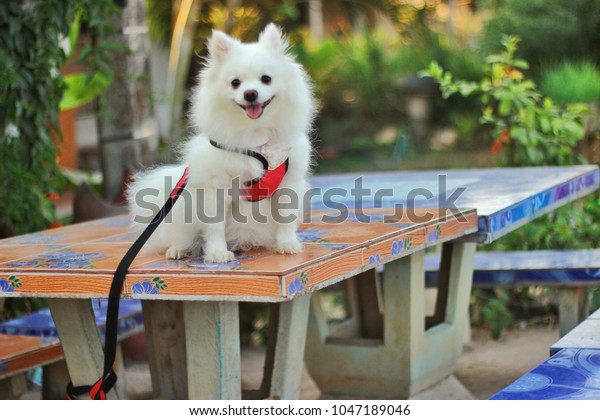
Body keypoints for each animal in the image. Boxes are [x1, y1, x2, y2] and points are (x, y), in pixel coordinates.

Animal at [128, 23, 316, 262]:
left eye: (266, 79)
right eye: (235, 83)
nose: (250, 93)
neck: (254, 134)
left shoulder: (287, 183)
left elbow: (285, 219)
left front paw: (287, 244)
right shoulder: (216, 187)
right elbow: (215, 226)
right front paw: (217, 253)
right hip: (182, 209)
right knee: (183, 235)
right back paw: (179, 249)